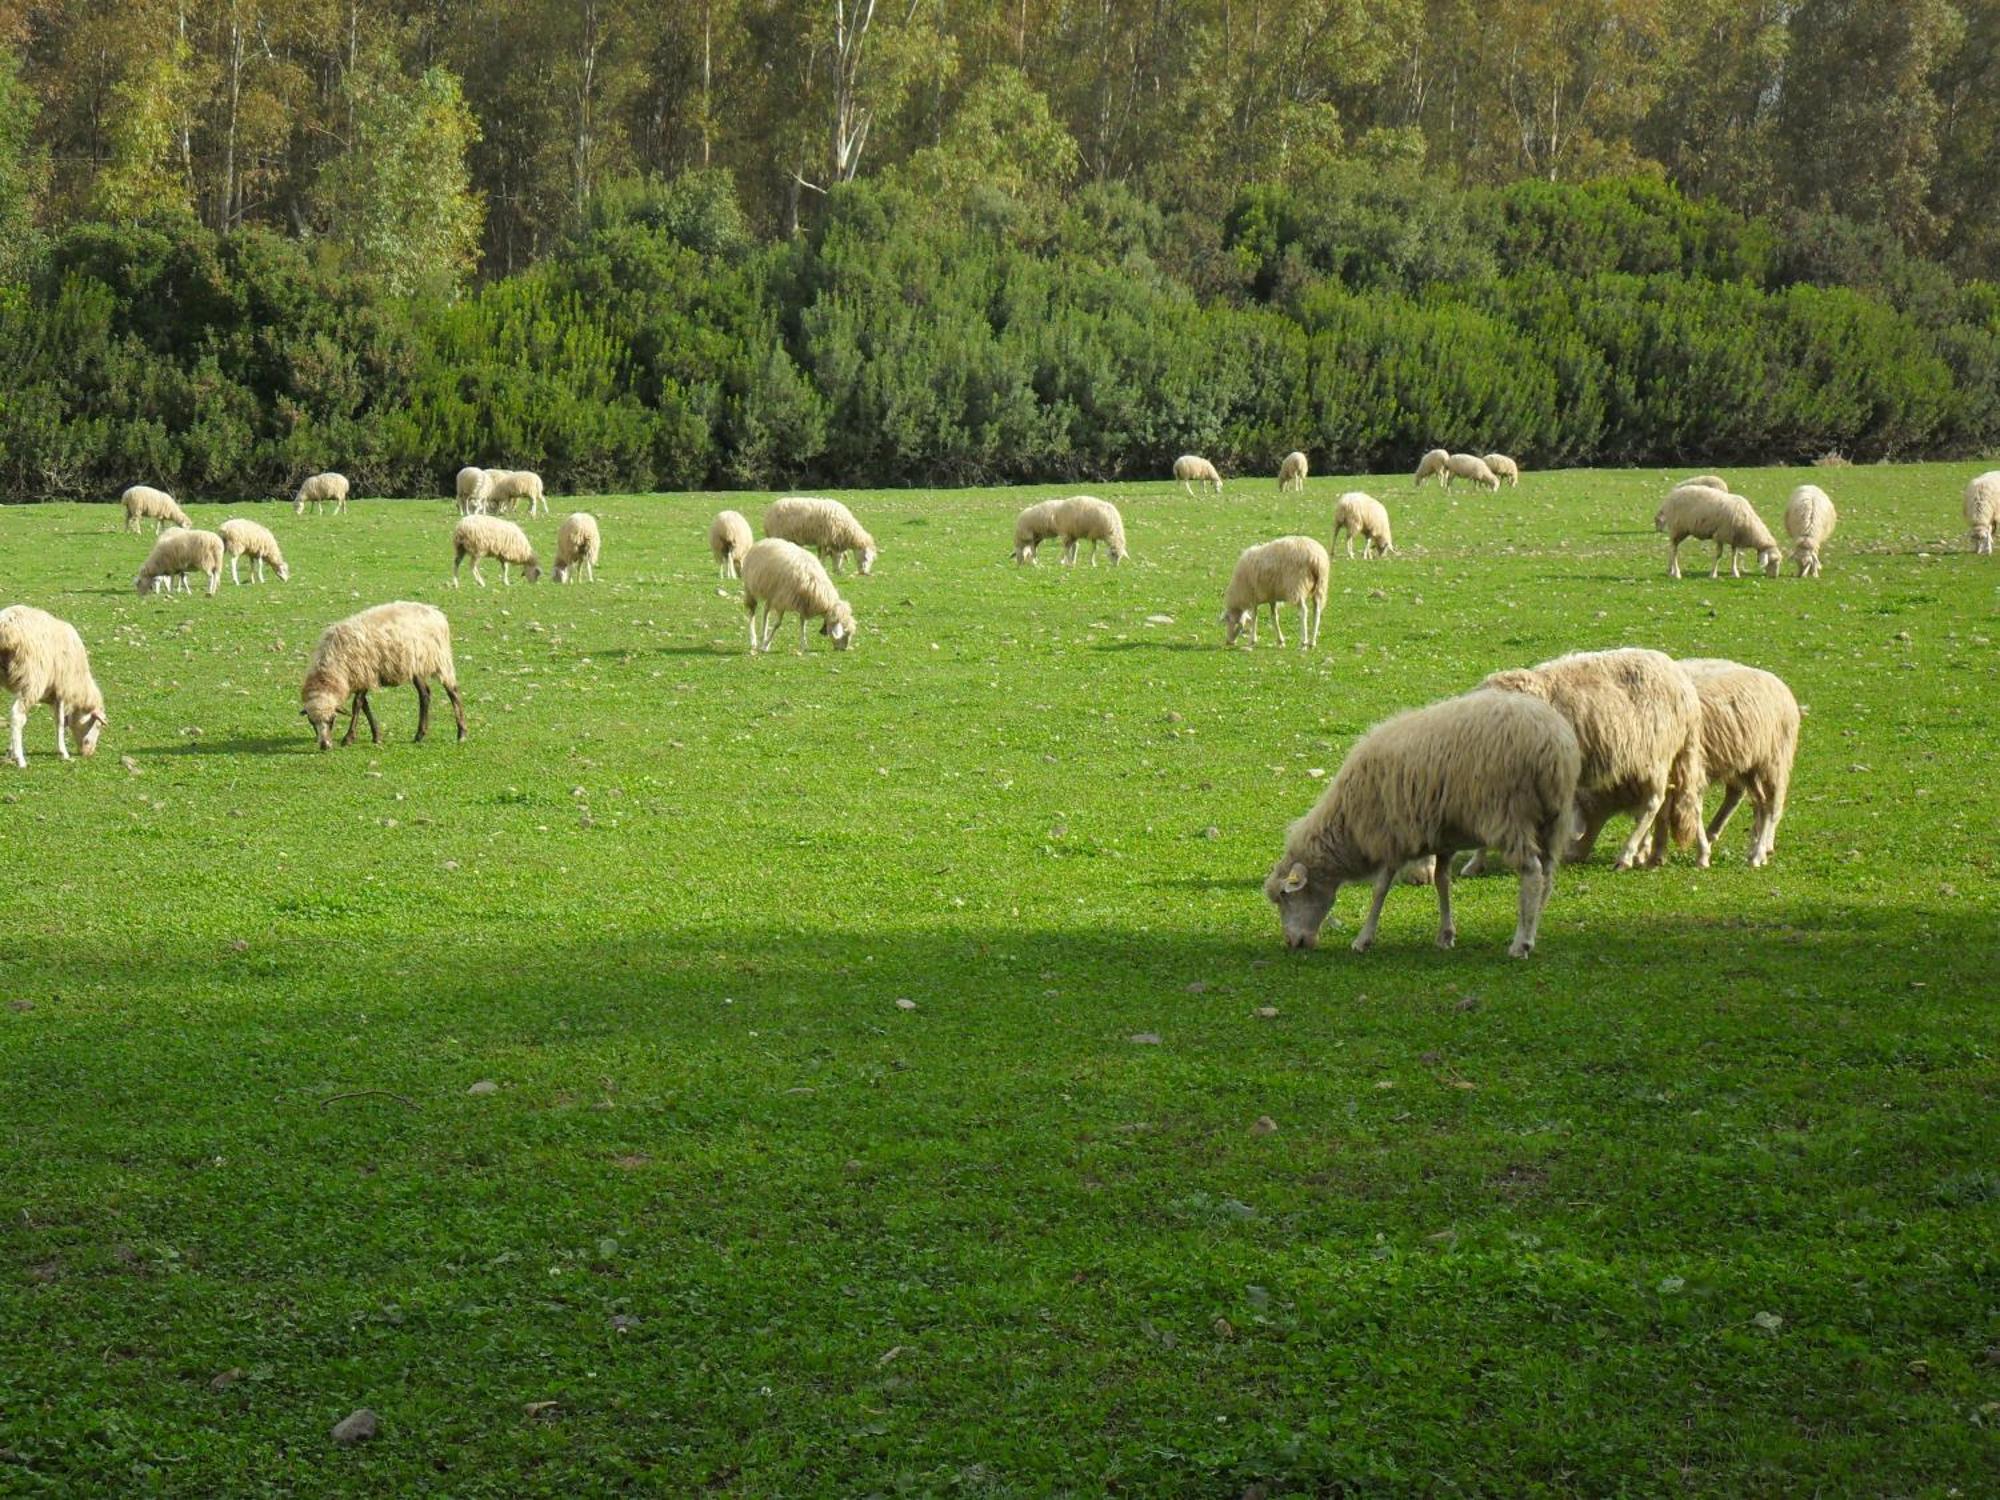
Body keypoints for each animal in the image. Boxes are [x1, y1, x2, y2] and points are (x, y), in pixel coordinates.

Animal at [0, 604, 108, 768]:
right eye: (97, 725)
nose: (89, 753)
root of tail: (6, 626)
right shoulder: (62, 690)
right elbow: (60, 722)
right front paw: (64, 752)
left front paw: (10, 751)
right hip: (33, 680)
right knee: (18, 716)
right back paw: (21, 760)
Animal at [298, 600, 462, 752]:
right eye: (311, 722)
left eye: (332, 719)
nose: (325, 745)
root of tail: (436, 613)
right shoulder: (360, 679)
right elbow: (365, 705)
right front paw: (376, 736)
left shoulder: (365, 673)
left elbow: (357, 704)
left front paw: (349, 738)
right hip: (416, 665)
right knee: (425, 695)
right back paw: (420, 735)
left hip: (440, 659)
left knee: (453, 691)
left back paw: (462, 733)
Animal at [1264, 692, 1576, 964]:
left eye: (1284, 896)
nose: (1292, 943)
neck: (1347, 823)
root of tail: (1553, 742)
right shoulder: (1444, 839)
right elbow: (1442, 882)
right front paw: (1445, 935)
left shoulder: (1391, 836)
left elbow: (1380, 889)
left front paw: (1363, 939)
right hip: (1553, 820)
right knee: (1547, 876)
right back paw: (1533, 927)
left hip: (1510, 815)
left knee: (1532, 874)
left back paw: (1520, 942)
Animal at [1656, 484, 1784, 580]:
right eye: (1773, 561)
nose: (1775, 577)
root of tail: (1670, 496)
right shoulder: (1720, 535)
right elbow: (1718, 555)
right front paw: (1713, 574)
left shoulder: (1734, 538)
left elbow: (1734, 556)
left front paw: (1735, 573)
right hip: (1678, 528)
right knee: (1674, 550)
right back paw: (1677, 573)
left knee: (1672, 548)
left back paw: (1670, 570)